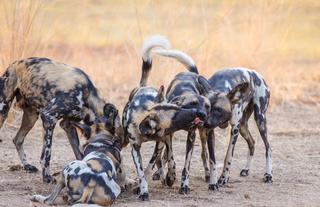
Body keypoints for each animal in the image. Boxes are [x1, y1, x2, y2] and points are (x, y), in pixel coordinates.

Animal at [122, 35, 202, 201]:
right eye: (175, 115)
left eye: (178, 107)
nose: (196, 113)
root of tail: (143, 87)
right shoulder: (135, 148)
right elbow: (141, 171)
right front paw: (143, 190)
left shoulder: (161, 142)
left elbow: (150, 166)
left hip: (167, 139)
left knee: (167, 158)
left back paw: (169, 176)